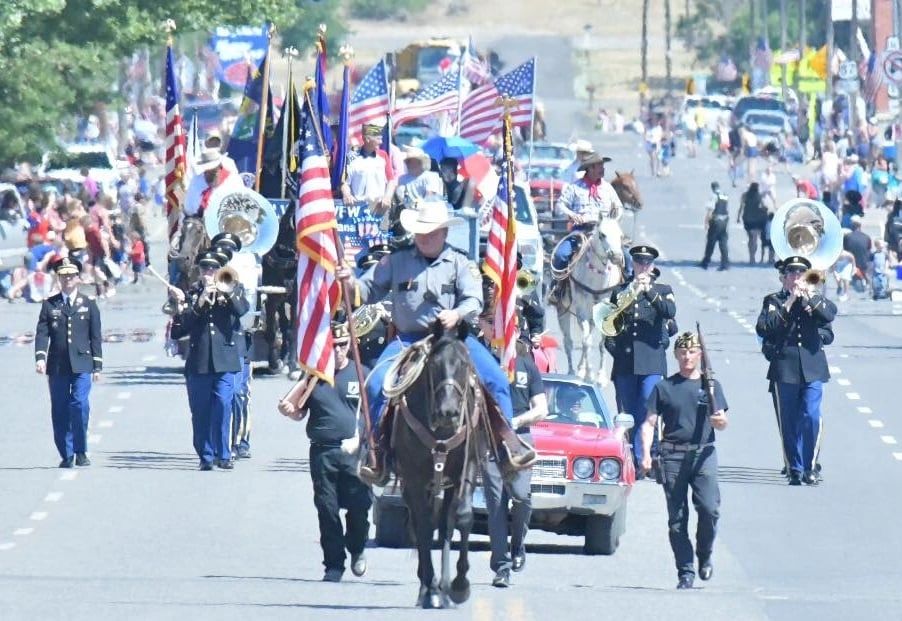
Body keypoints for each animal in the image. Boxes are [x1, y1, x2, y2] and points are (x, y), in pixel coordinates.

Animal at [548, 218, 624, 382]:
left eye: (620, 235)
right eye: (602, 234)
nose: (616, 257)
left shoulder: (603, 313)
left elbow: (600, 343)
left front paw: (600, 376)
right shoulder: (581, 311)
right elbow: (586, 342)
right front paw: (588, 374)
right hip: (563, 312)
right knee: (569, 342)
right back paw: (572, 371)